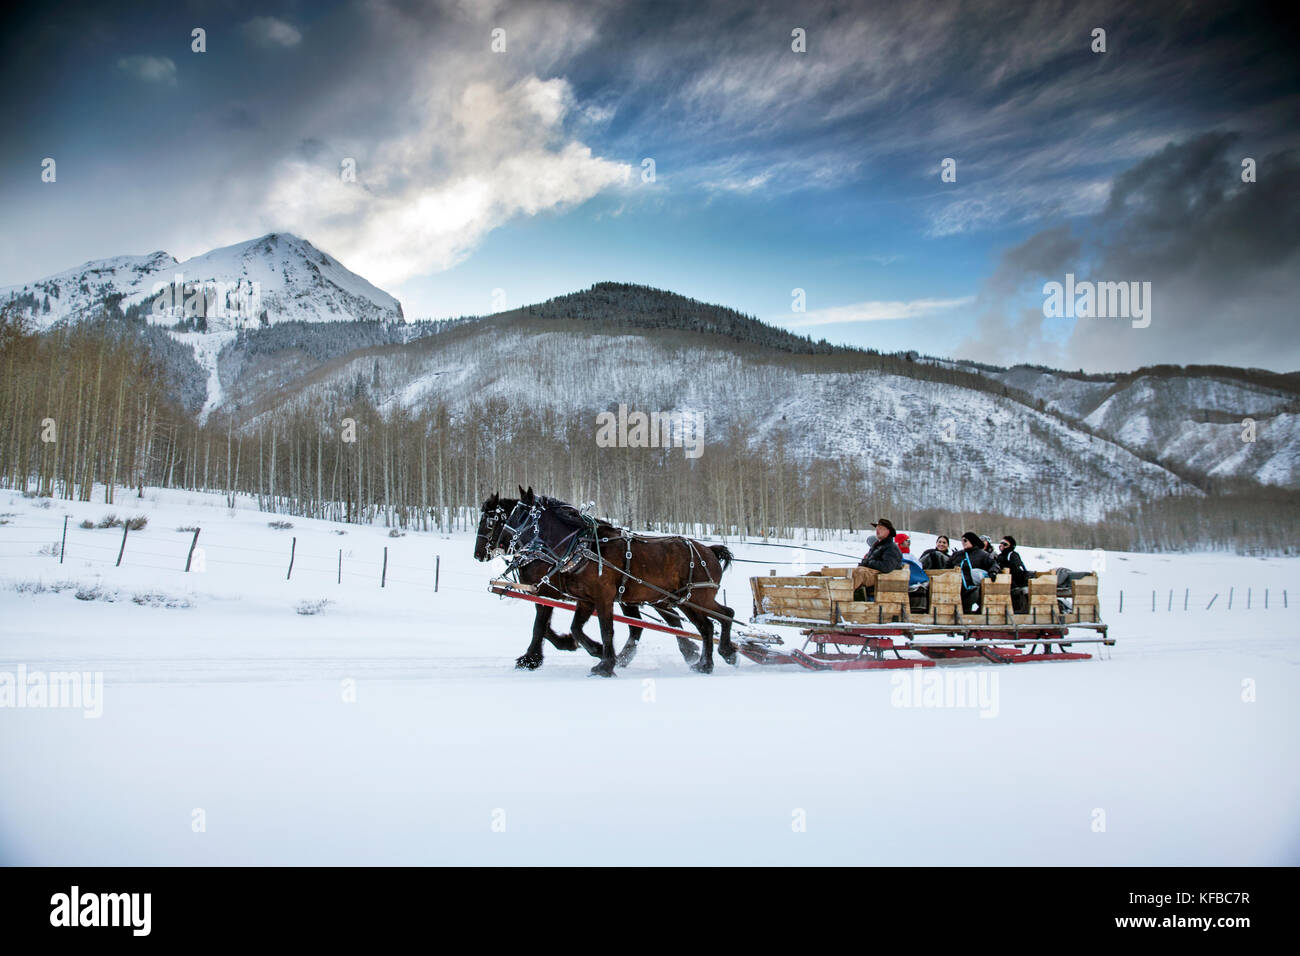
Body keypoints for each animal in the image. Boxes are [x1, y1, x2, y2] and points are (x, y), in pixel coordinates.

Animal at [488, 486, 738, 681]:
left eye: (520, 514)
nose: (502, 542)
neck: (582, 548)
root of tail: (710, 550)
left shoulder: (602, 597)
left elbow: (606, 630)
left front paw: (605, 665)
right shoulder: (585, 600)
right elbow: (575, 628)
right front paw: (596, 652)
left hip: (696, 597)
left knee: (721, 617)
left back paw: (716, 657)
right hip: (682, 600)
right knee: (709, 624)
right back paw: (709, 661)